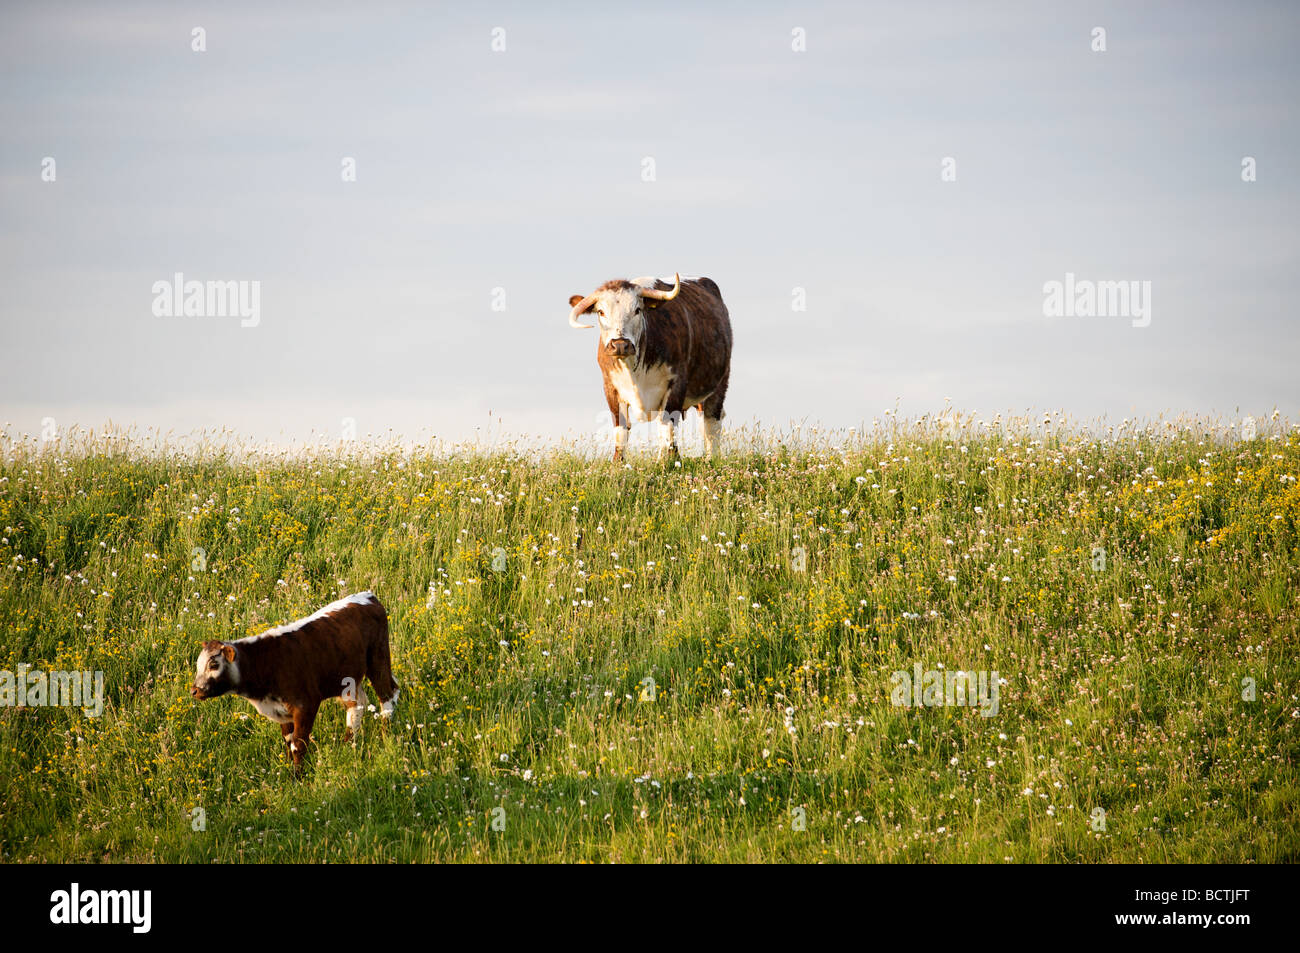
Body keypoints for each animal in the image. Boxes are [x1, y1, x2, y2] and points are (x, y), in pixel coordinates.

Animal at [190, 591, 399, 771]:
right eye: (198, 665)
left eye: (214, 664)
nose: (194, 690)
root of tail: (368, 596)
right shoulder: (282, 711)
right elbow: (289, 740)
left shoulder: (306, 705)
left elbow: (298, 743)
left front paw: (298, 776)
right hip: (348, 679)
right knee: (357, 705)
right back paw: (348, 744)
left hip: (378, 658)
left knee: (387, 695)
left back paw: (386, 734)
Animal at [568, 273, 733, 461]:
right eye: (601, 312)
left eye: (637, 310)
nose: (620, 345)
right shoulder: (610, 386)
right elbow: (620, 428)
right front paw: (618, 463)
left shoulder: (676, 384)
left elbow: (668, 425)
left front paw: (670, 461)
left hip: (719, 382)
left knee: (711, 422)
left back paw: (711, 458)